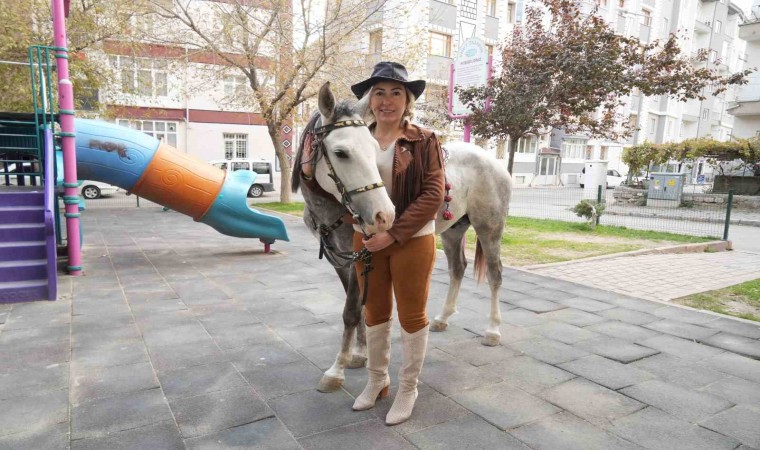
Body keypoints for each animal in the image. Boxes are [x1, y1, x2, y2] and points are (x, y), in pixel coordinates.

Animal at [293, 82, 512, 393]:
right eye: (341, 152)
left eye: (373, 149)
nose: (384, 215)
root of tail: (492, 159)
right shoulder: (341, 260)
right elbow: (360, 308)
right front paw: (360, 353)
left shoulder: (360, 256)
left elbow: (352, 310)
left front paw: (337, 369)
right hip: (454, 230)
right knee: (458, 268)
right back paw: (443, 318)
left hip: (490, 227)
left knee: (495, 274)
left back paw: (492, 330)